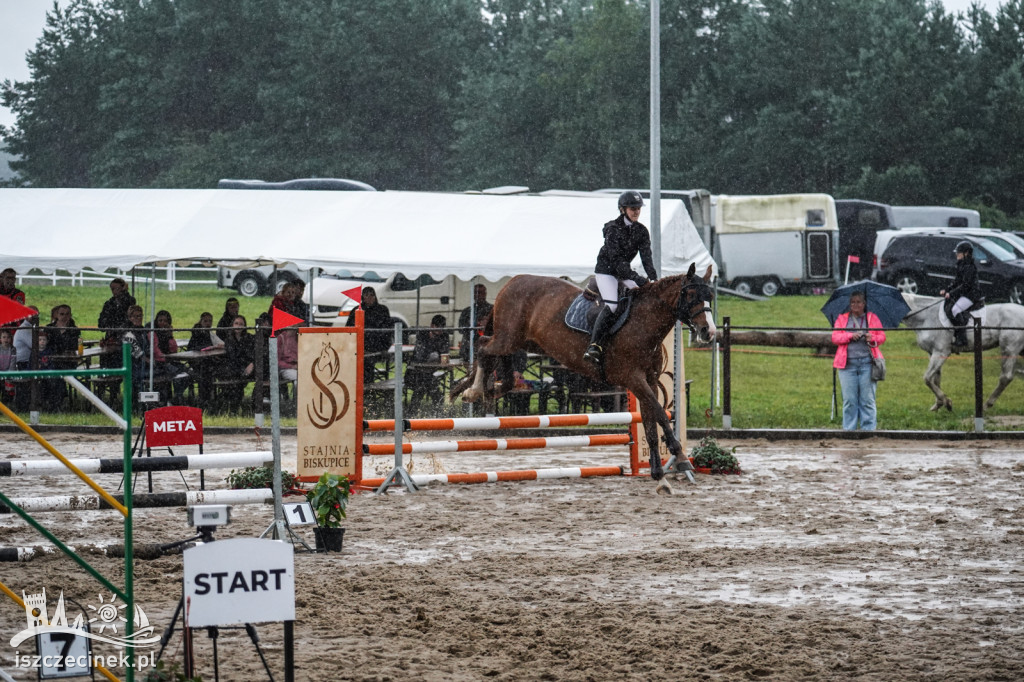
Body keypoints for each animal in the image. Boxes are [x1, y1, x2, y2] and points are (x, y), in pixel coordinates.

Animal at [452, 260, 716, 477]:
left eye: (711, 295)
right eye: (691, 294)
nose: (709, 332)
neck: (644, 323)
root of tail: (512, 281)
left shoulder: (649, 380)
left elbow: (651, 418)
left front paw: (657, 470)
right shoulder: (633, 378)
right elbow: (660, 413)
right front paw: (679, 456)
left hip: (522, 341)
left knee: (501, 360)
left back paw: (492, 389)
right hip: (508, 337)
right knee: (484, 347)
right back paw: (474, 391)